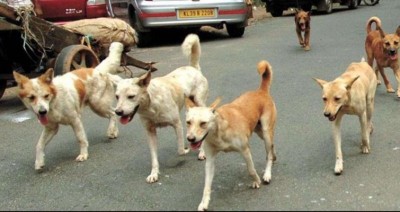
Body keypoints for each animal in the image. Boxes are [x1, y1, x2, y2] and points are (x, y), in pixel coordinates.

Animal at [13, 41, 124, 172]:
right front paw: (39, 162)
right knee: (113, 113)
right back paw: (114, 132)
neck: (54, 102)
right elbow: (39, 145)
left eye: (46, 95)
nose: (42, 112)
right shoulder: (51, 127)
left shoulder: (75, 120)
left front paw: (83, 154)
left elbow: (81, 138)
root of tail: (96, 70)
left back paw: (111, 130)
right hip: (98, 105)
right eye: (31, 97)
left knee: (112, 113)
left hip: (97, 104)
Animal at [111, 34, 208, 183]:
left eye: (131, 96)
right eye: (117, 96)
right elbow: (154, 158)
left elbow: (180, 149)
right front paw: (154, 173)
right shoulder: (150, 132)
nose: (118, 112)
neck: (151, 106)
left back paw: (202, 152)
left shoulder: (177, 124)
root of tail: (193, 68)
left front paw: (186, 150)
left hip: (199, 101)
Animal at [185, 60, 276, 211]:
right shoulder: (210, 160)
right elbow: (207, 185)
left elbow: (251, 170)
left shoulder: (245, 150)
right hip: (260, 132)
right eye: (188, 122)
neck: (219, 132)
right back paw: (274, 157)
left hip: (265, 132)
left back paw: (267, 173)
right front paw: (204, 202)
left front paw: (256, 180)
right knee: (272, 147)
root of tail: (260, 91)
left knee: (268, 152)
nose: (190, 139)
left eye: (203, 123)